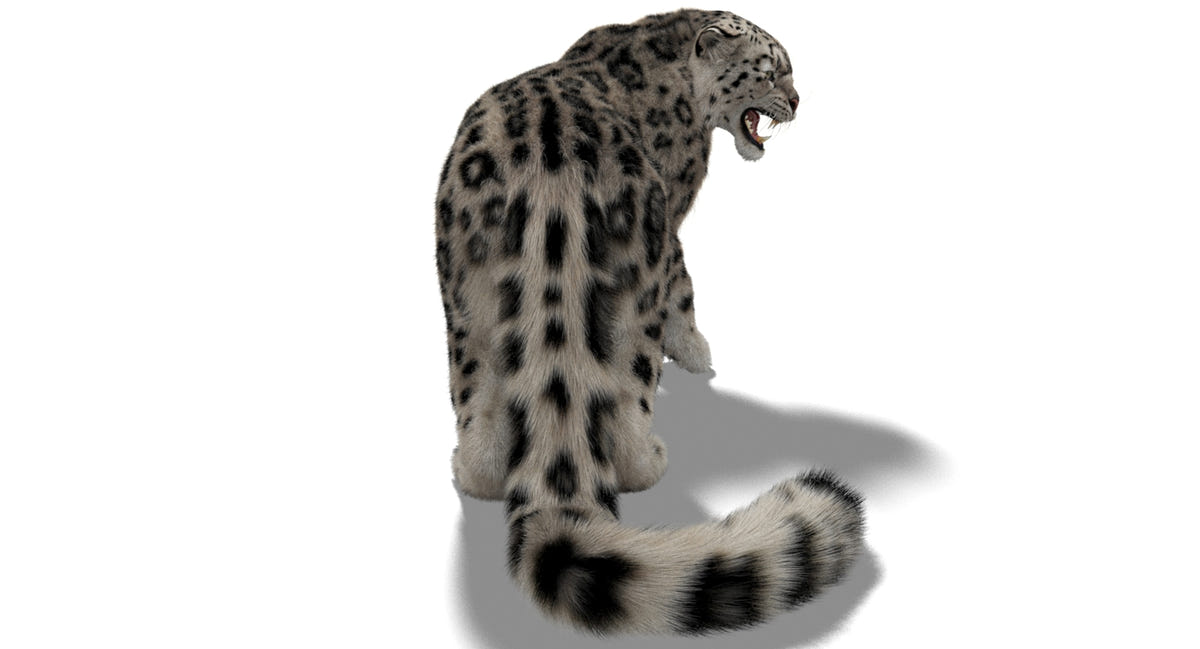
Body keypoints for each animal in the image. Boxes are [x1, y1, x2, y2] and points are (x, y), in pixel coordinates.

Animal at [434, 9, 865, 635]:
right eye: (771, 71)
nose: (796, 101)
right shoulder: (677, 206)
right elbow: (684, 284)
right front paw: (697, 352)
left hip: (464, 308)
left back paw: (466, 467)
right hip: (634, 311)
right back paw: (652, 455)